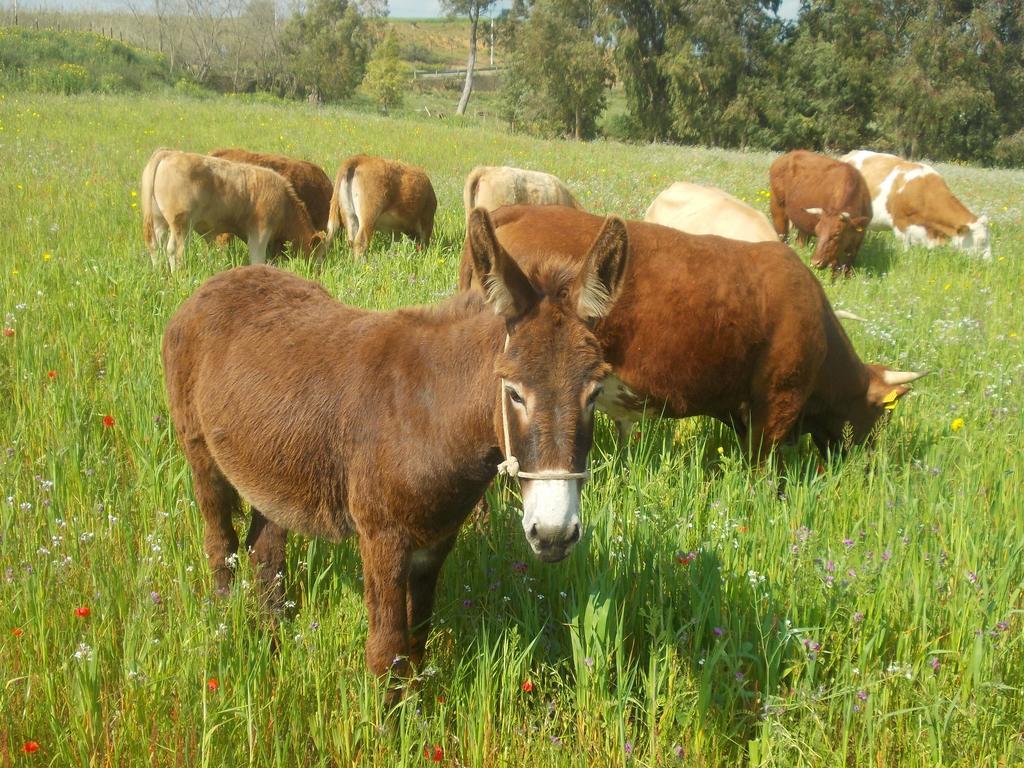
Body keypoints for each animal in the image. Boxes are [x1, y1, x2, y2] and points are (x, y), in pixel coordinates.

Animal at [140, 148, 323, 272]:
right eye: (318, 255)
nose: (318, 271)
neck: (285, 203)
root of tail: (168, 153)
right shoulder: (259, 233)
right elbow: (258, 259)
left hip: (159, 222)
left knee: (156, 246)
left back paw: (159, 272)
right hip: (181, 224)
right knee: (175, 251)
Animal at [163, 208, 626, 684]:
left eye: (593, 394)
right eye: (514, 393)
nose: (553, 534)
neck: (431, 415)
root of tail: (217, 282)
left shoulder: (435, 540)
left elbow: (416, 643)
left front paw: (419, 703)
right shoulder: (382, 539)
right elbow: (386, 650)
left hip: (271, 470)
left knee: (265, 552)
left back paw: (273, 636)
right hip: (201, 456)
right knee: (220, 544)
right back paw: (225, 628)